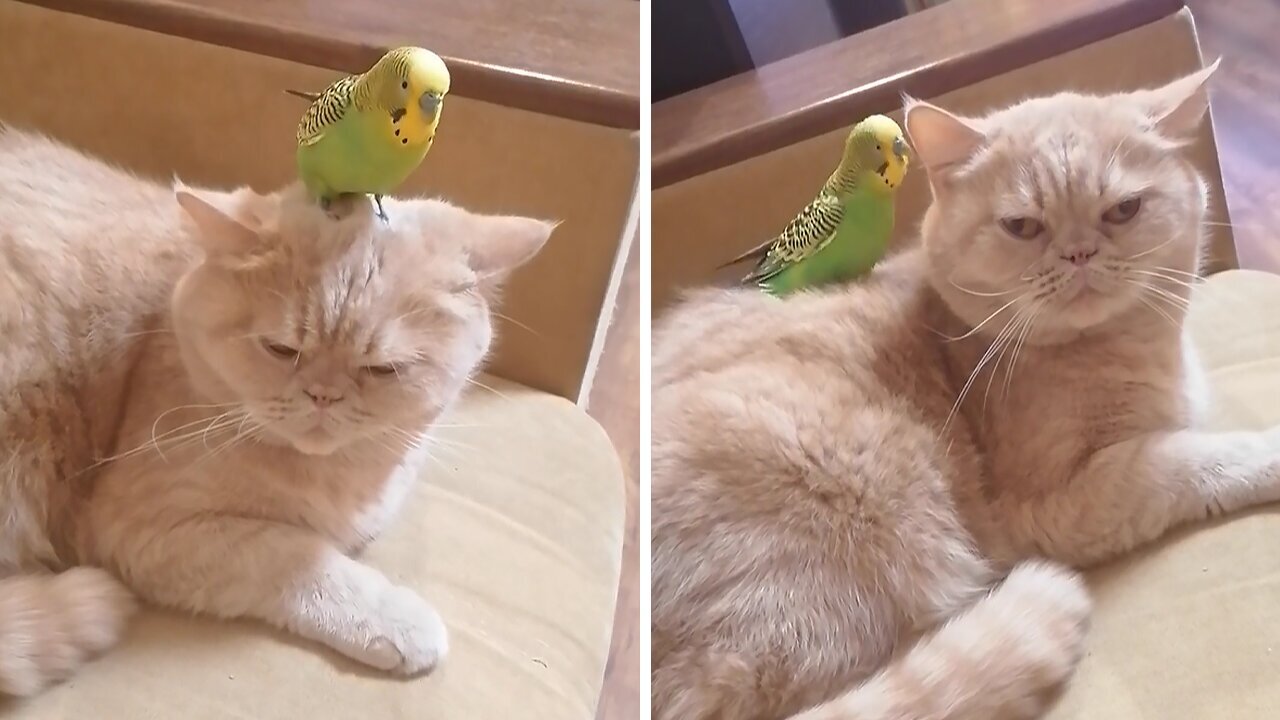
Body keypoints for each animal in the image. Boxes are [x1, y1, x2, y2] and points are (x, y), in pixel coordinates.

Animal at [0, 126, 552, 691]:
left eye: (382, 369)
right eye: (282, 349)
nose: (323, 394)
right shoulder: (143, 527)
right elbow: (294, 553)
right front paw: (395, 619)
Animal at [655, 61, 1274, 717]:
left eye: (1123, 210)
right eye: (1022, 227)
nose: (1079, 253)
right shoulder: (1057, 503)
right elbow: (1190, 461)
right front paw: (1264, 455)